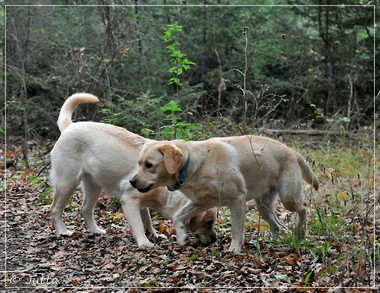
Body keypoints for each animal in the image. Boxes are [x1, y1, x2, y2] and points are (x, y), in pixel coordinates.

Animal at [50, 93, 217, 246]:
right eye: (209, 222)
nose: (215, 239)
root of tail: (69, 126)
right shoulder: (129, 201)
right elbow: (138, 225)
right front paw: (144, 243)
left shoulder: (142, 204)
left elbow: (147, 221)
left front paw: (154, 235)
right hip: (68, 182)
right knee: (55, 209)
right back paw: (63, 232)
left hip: (94, 186)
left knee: (85, 209)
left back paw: (95, 230)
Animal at [129, 135, 320, 251]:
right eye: (139, 163)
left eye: (149, 165)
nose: (131, 181)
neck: (195, 165)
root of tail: (292, 151)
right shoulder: (202, 202)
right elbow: (178, 215)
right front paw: (182, 236)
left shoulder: (237, 200)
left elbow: (236, 230)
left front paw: (234, 249)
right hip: (264, 206)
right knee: (277, 225)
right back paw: (275, 241)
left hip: (288, 197)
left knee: (304, 208)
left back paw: (299, 232)